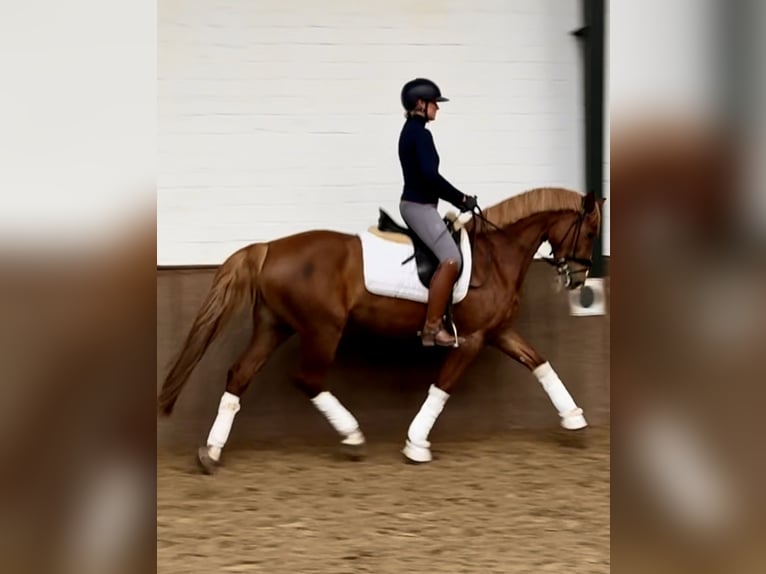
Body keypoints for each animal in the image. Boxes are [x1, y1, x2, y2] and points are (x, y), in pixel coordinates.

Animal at [158, 186, 605, 472]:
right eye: (590, 231)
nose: (579, 279)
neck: (497, 256)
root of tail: (269, 248)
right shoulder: (472, 339)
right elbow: (442, 387)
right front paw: (416, 444)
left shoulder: (497, 332)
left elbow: (539, 363)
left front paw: (574, 419)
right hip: (323, 329)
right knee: (307, 379)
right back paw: (353, 436)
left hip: (275, 325)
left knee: (240, 374)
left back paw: (212, 452)